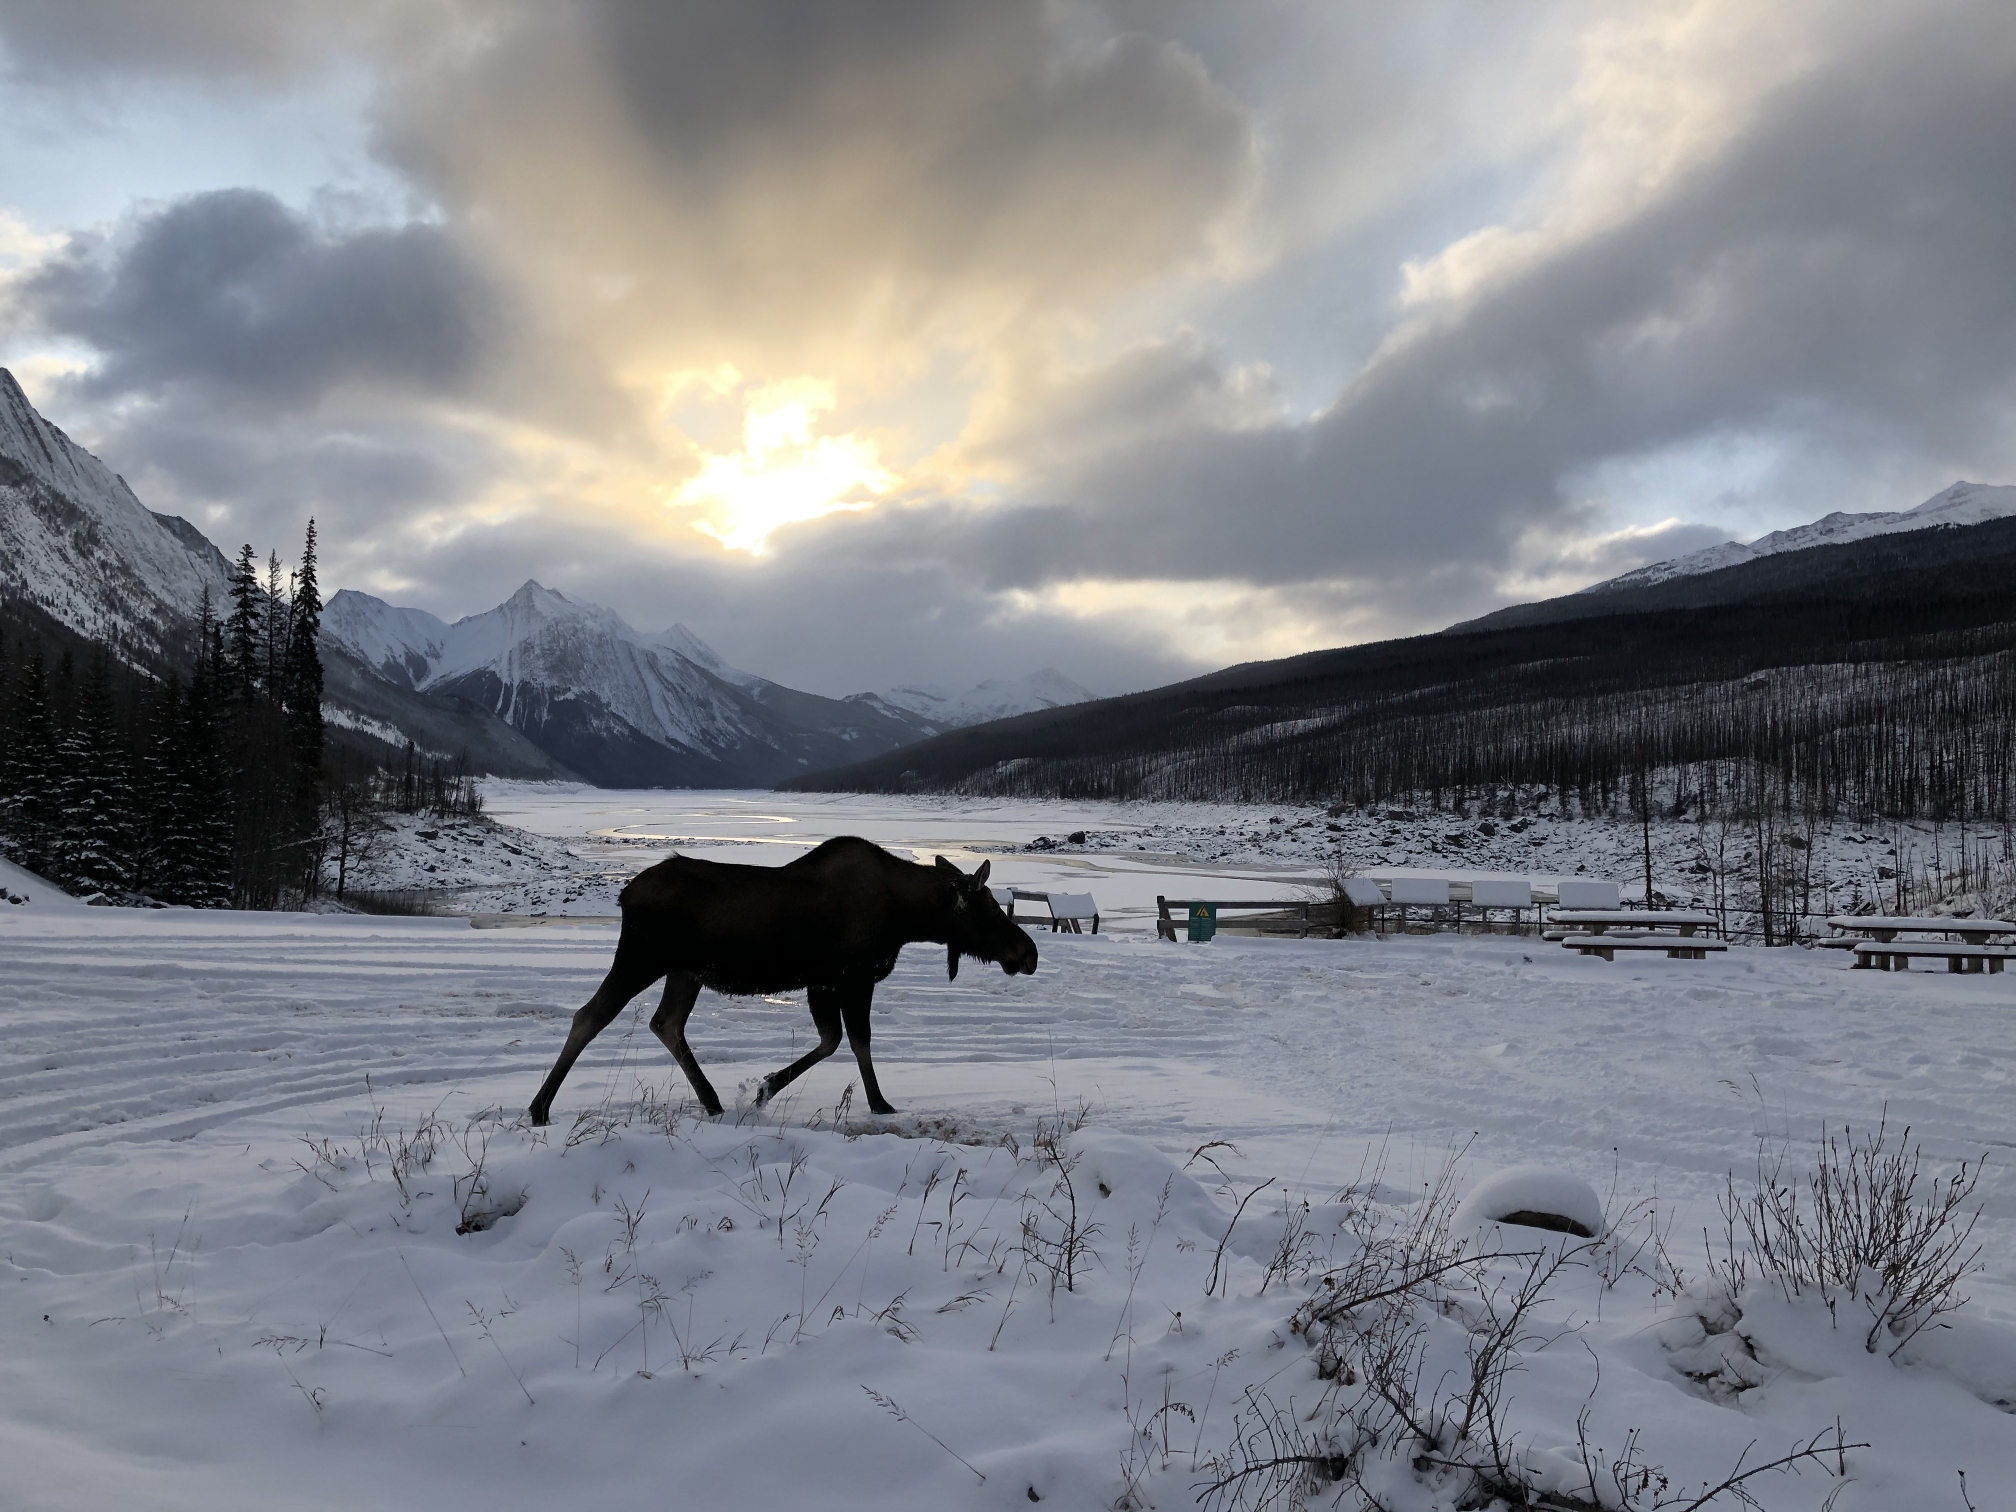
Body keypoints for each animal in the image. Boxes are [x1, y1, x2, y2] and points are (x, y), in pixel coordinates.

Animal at [528, 842, 1040, 1128]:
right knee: (591, 1016)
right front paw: (877, 1103)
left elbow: (832, 1040)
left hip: (684, 971)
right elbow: (854, 1040)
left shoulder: (822, 983)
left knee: (666, 1023)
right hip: (642, 958)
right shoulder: (850, 978)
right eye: (990, 909)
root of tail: (624, 894)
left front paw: (764, 1087)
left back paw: (712, 1101)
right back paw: (540, 1107)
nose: (1029, 954)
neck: (908, 918)